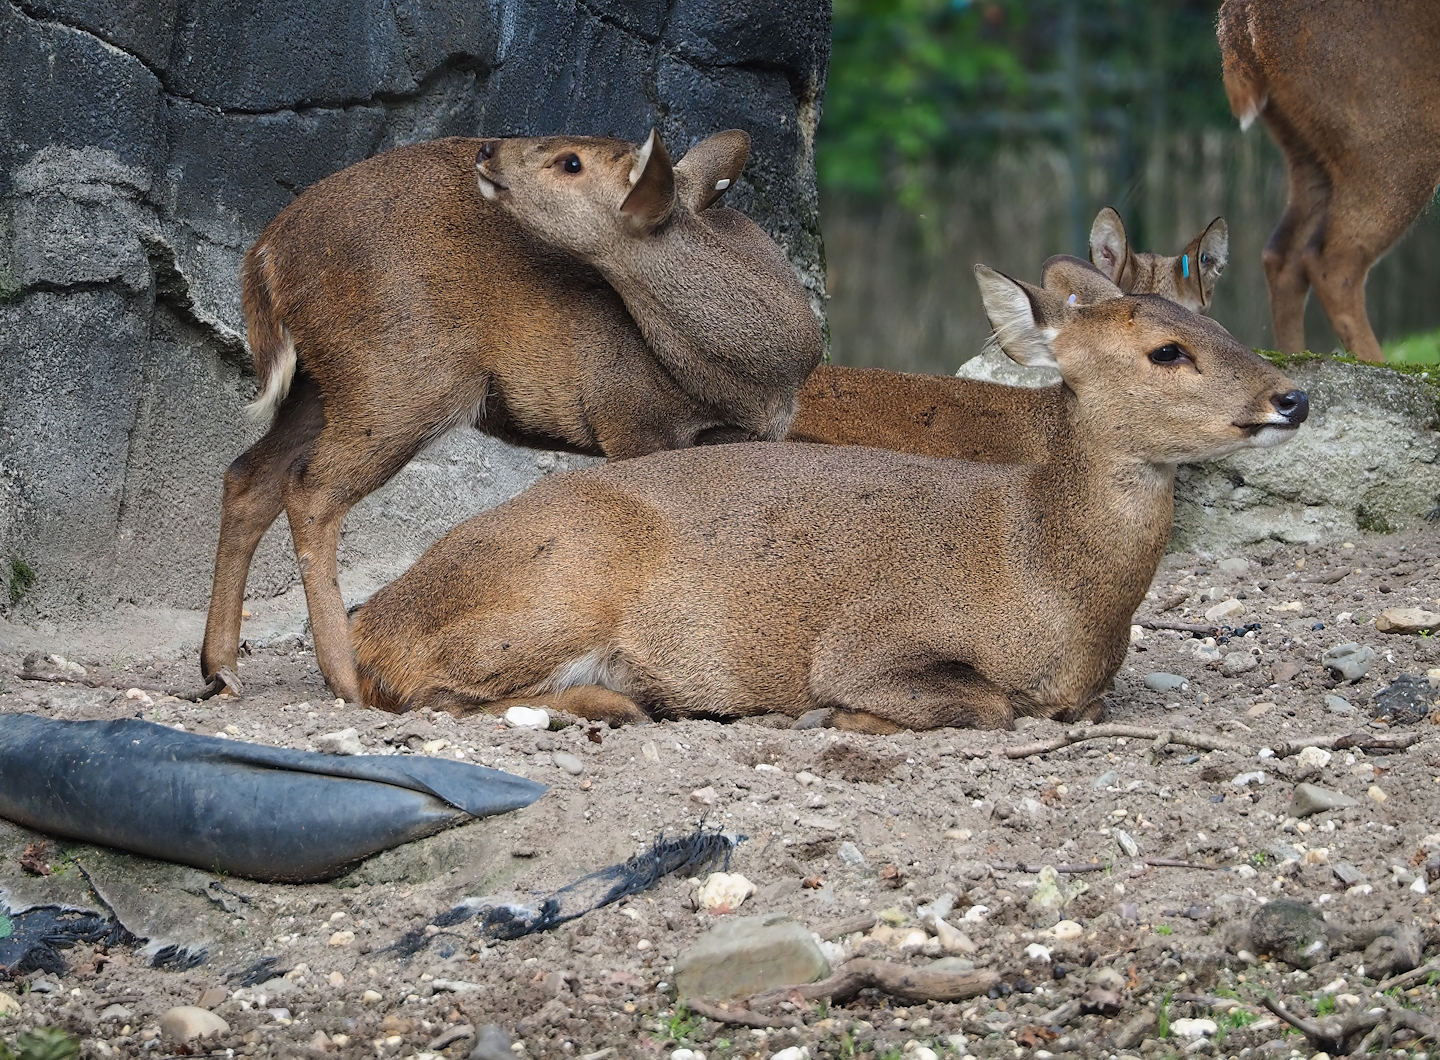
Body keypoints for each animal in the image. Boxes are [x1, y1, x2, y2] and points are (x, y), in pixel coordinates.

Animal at [200, 130, 823, 703]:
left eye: (572, 162)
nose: (488, 150)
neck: (753, 375)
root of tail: (266, 253)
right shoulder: (628, 412)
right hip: (401, 377)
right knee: (311, 488)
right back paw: (346, 679)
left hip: (324, 384)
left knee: (249, 475)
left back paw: (221, 669)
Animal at [349, 259, 1308, 732]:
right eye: (1166, 351)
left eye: (1220, 322)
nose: (1291, 397)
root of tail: (373, 620)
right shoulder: (870, 637)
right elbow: (987, 706)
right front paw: (836, 718)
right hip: (558, 584)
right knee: (432, 693)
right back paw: (618, 702)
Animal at [1218, 0, 1440, 364]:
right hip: (1396, 135)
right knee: (1331, 260)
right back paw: (1375, 361)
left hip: (1306, 151)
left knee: (1283, 254)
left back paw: (1294, 356)